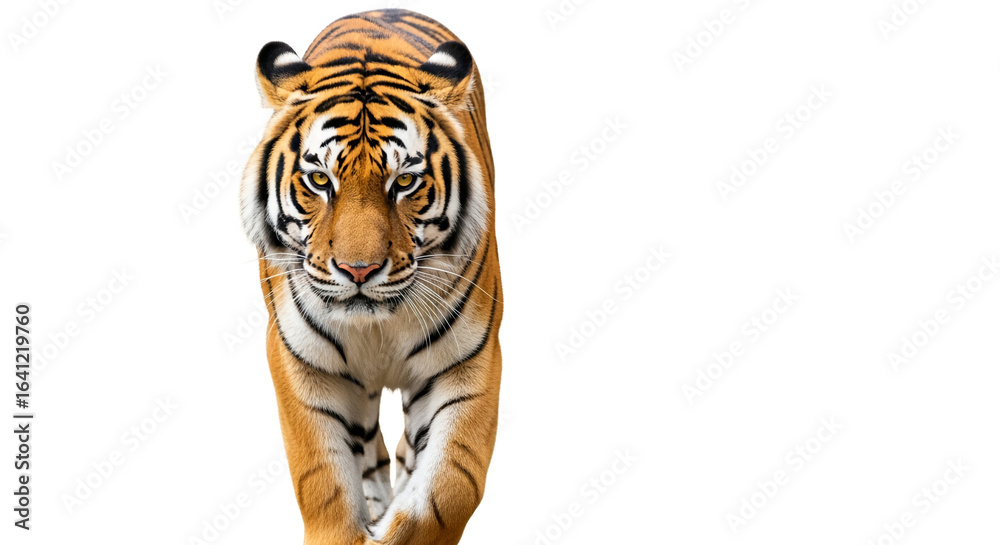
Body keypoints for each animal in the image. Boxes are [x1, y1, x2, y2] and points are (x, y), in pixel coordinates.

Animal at [238, 9, 502, 545]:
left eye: (405, 182)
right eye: (320, 180)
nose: (358, 269)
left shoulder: (469, 361)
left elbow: (449, 488)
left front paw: (397, 524)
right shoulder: (304, 363)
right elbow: (325, 482)